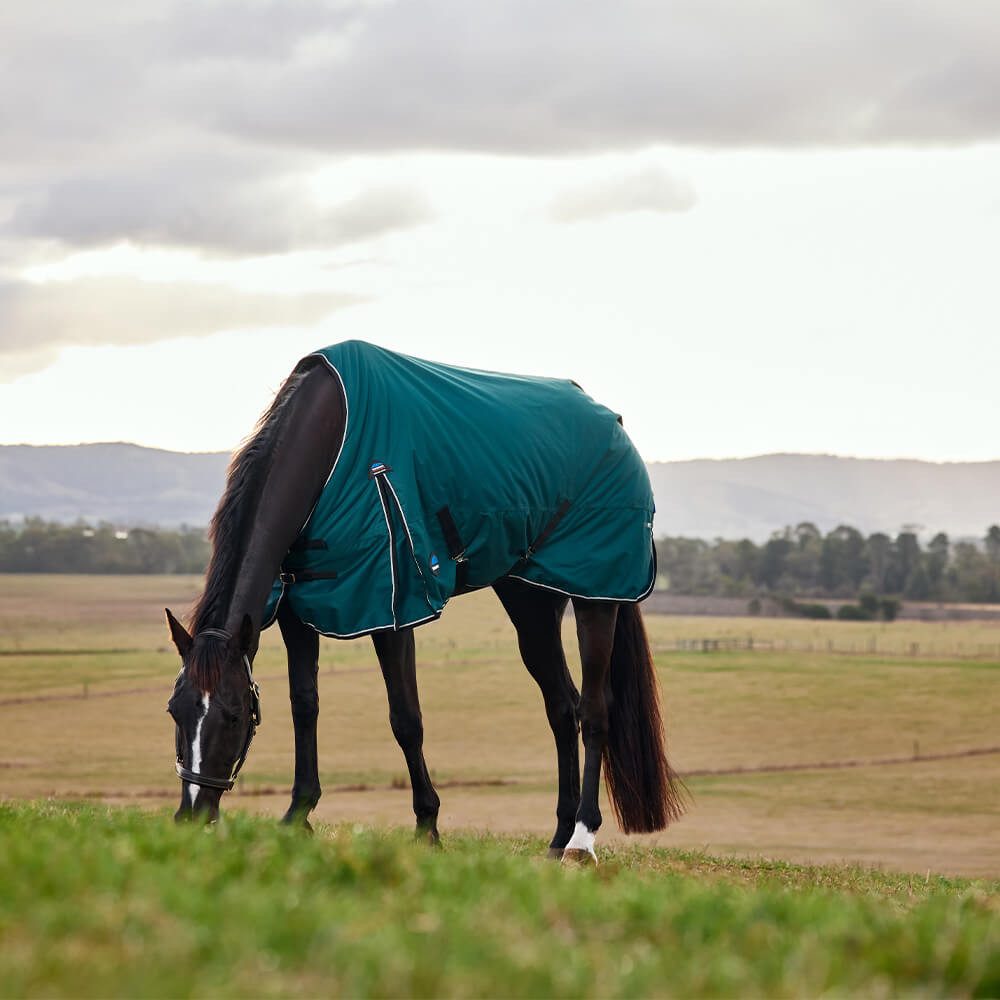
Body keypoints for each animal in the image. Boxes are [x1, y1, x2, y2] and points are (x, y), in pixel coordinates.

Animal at [165, 341, 683, 862]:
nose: (192, 817)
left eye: (233, 714)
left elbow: (405, 719)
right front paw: (298, 814)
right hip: (532, 602)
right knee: (562, 707)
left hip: (598, 594)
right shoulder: (298, 608)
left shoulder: (392, 609)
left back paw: (581, 836)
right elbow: (304, 705)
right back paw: (556, 836)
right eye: (175, 710)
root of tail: (612, 421)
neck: (331, 440)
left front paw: (427, 825)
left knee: (594, 710)